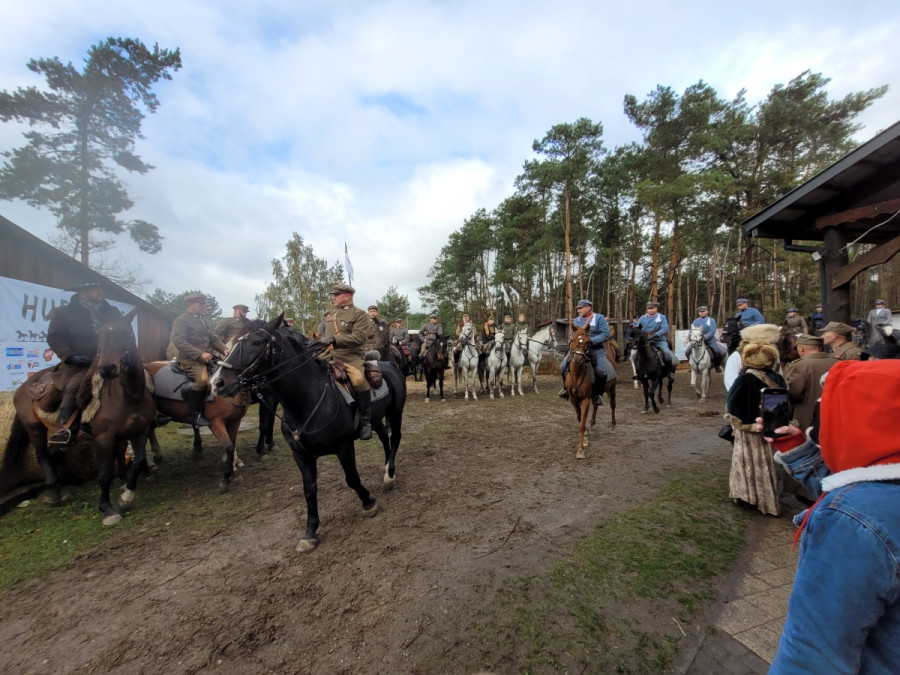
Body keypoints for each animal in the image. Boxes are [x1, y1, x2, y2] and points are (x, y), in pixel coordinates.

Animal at [1, 310, 156, 525]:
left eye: (126, 333)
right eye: (100, 337)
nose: (107, 369)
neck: (130, 395)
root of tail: (24, 386)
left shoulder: (140, 429)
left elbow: (139, 461)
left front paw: (127, 495)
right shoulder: (103, 437)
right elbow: (105, 474)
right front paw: (107, 508)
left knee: (55, 452)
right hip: (34, 428)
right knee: (43, 456)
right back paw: (54, 493)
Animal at [211, 314, 406, 552]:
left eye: (256, 342)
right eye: (231, 343)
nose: (217, 383)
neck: (308, 399)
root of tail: (389, 364)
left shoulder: (343, 446)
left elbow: (351, 478)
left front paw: (368, 503)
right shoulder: (301, 455)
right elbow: (309, 490)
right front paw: (310, 532)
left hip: (395, 413)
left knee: (395, 438)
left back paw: (389, 475)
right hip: (378, 419)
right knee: (384, 439)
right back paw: (387, 468)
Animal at [564, 321, 618, 459]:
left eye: (588, 341)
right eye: (572, 339)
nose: (578, 359)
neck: (578, 375)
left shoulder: (585, 399)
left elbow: (582, 424)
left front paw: (580, 450)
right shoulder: (573, 399)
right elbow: (579, 419)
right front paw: (586, 439)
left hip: (612, 388)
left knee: (612, 405)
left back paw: (613, 426)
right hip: (596, 393)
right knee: (596, 405)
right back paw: (592, 425)